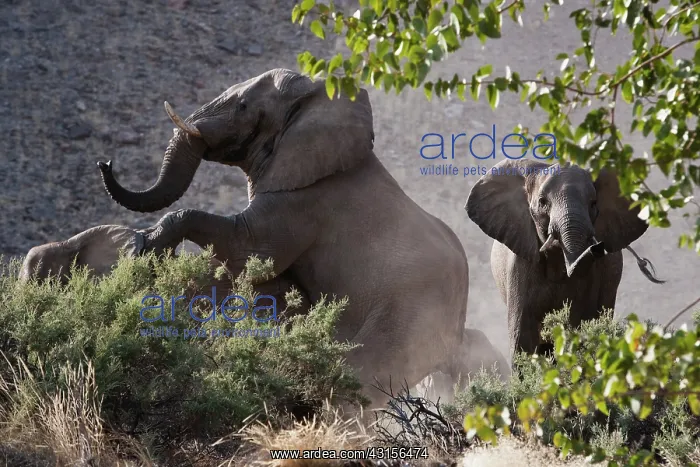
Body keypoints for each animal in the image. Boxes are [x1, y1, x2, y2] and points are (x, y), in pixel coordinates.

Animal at [95, 68, 478, 409]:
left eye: (243, 106)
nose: (105, 163)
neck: (315, 98)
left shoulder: (305, 200)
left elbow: (250, 252)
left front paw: (146, 248)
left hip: (410, 316)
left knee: (357, 380)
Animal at [465, 159, 664, 359]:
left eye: (593, 203)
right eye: (542, 202)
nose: (598, 247)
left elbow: (584, 323)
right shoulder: (519, 267)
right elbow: (523, 336)